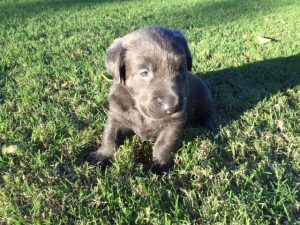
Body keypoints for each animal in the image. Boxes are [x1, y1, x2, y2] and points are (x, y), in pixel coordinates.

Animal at [89, 26, 213, 174]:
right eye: (144, 72)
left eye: (180, 68)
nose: (172, 107)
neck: (141, 114)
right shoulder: (116, 116)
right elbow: (109, 137)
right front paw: (101, 156)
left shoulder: (174, 123)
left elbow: (163, 145)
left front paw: (159, 166)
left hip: (204, 99)